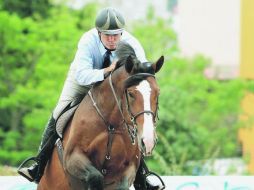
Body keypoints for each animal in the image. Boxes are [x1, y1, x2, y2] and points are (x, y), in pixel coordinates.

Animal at [37, 43, 165, 190]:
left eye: (158, 93)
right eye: (131, 94)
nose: (148, 142)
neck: (111, 124)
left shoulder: (128, 170)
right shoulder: (72, 157)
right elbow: (95, 176)